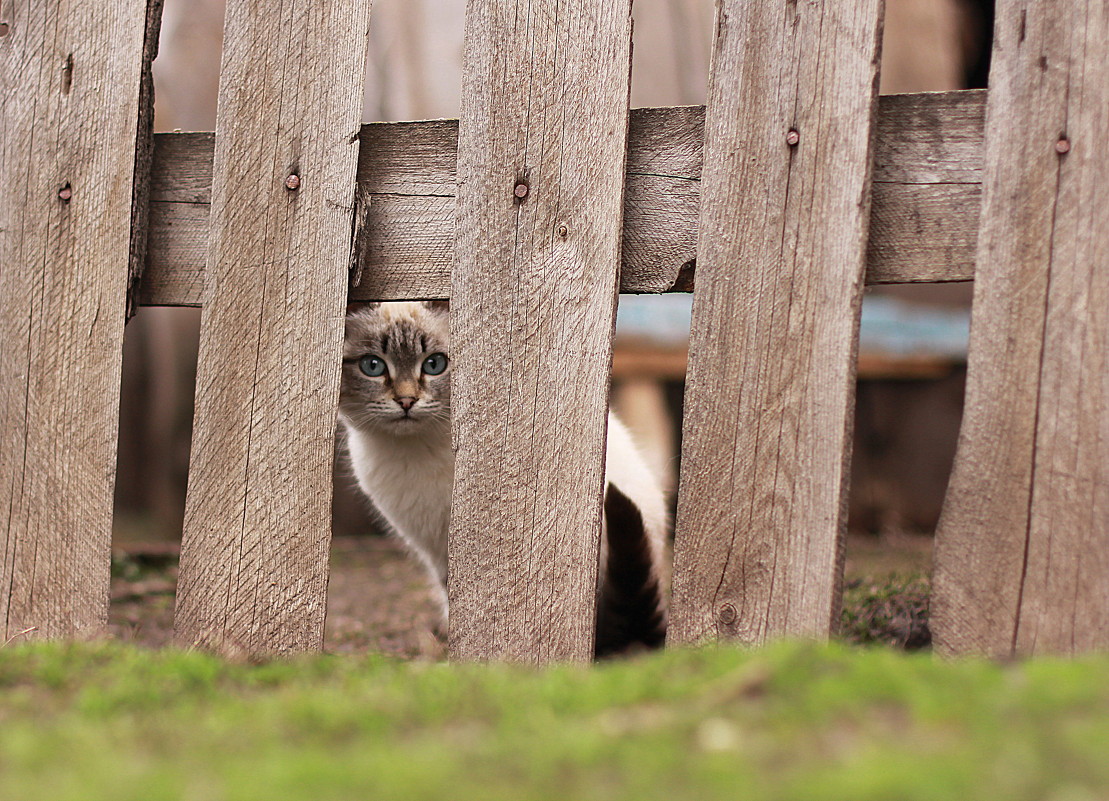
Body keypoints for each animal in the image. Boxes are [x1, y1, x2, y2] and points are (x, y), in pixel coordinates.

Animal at [337, 299, 665, 656]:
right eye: (373, 366)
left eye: (434, 364)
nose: (407, 401)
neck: (415, 452)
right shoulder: (434, 548)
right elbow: (455, 597)